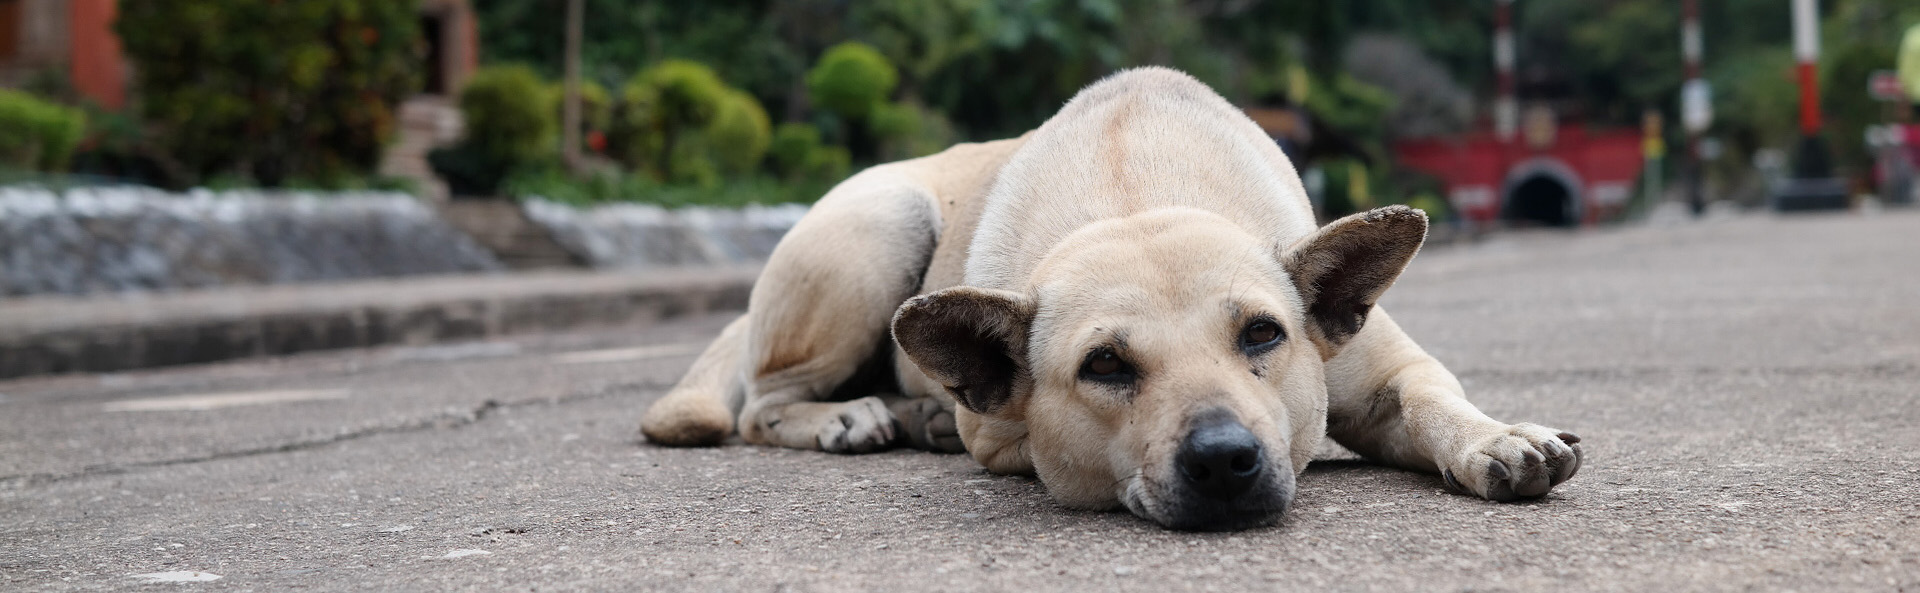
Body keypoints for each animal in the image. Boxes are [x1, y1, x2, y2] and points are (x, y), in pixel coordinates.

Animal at [637, 67, 1582, 529]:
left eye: (1263, 335)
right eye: (1104, 365)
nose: (1224, 460)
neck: (1140, 195)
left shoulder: (1378, 373)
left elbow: (1428, 398)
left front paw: (1494, 436)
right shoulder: (1002, 432)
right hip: (880, 222)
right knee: (763, 403)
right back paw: (852, 415)